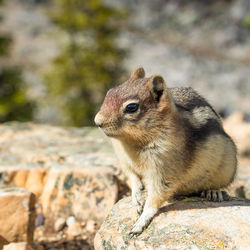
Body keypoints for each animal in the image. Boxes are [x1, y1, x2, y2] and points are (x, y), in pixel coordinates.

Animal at [94, 66, 236, 236]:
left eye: (131, 107)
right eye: (110, 92)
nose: (97, 121)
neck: (132, 143)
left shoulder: (164, 169)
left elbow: (156, 196)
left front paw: (140, 222)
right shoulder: (125, 162)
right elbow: (133, 177)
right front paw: (137, 197)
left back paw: (214, 192)